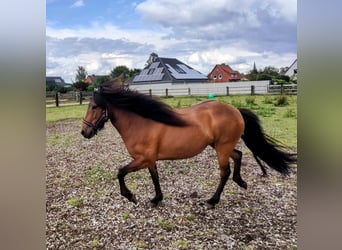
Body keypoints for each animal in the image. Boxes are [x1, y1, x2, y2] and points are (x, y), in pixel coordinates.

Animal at [81, 83, 296, 207]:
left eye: (94, 107)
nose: (84, 132)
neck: (141, 123)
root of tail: (236, 110)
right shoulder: (149, 160)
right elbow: (155, 178)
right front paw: (156, 199)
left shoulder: (142, 159)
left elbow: (120, 172)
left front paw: (130, 196)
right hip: (219, 146)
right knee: (238, 155)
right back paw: (241, 182)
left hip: (222, 148)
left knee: (224, 172)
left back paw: (212, 201)